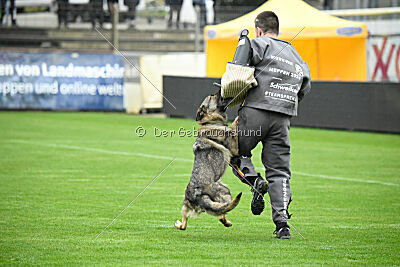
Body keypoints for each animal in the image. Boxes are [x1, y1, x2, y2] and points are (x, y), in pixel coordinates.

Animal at [174, 91, 242, 230]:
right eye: (213, 97)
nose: (219, 90)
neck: (211, 122)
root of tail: (198, 196)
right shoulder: (234, 146)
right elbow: (232, 129)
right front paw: (236, 119)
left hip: (185, 206)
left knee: (184, 224)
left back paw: (178, 224)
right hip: (224, 190)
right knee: (223, 211)